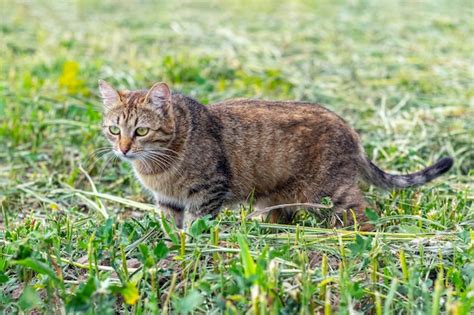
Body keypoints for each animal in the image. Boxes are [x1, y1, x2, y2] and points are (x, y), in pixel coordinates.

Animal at [98, 80, 454, 231]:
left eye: (141, 131)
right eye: (114, 130)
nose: (123, 149)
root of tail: (350, 130)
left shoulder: (209, 189)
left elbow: (197, 224)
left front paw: (194, 243)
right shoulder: (167, 201)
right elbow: (171, 227)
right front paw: (172, 243)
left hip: (329, 193)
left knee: (362, 213)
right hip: (274, 198)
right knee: (282, 216)